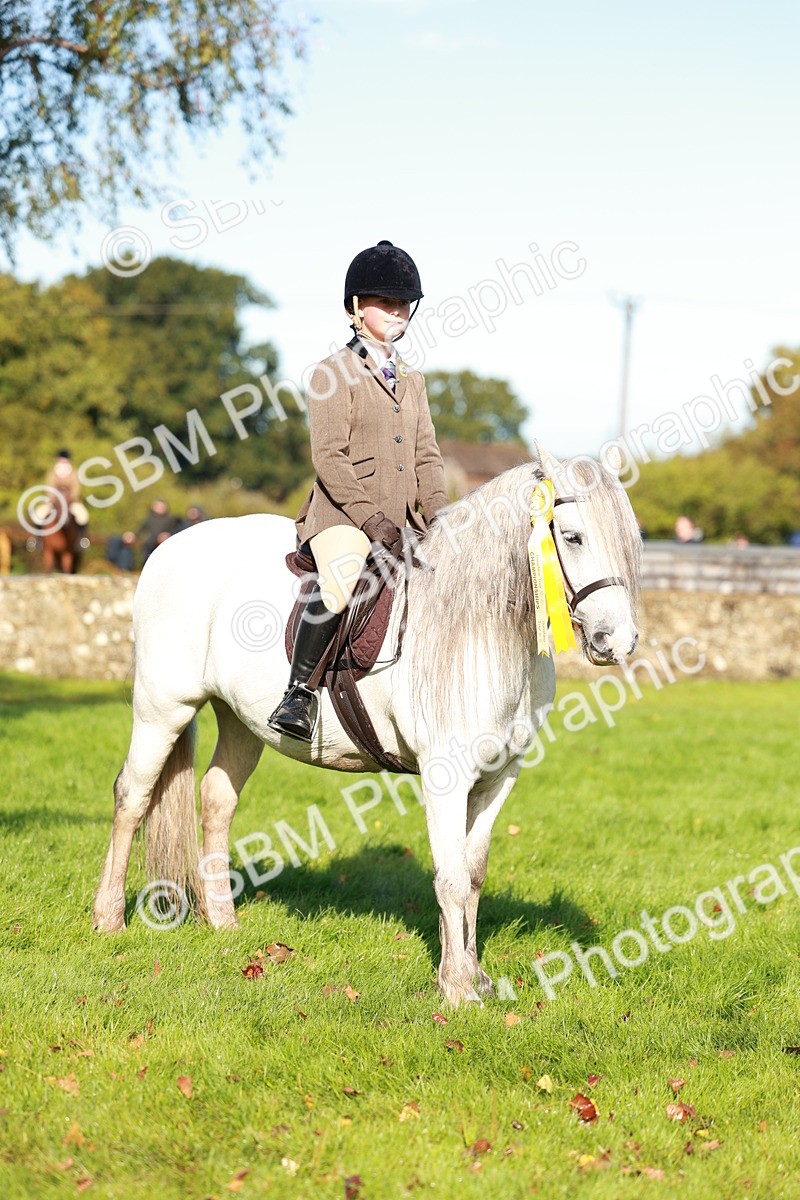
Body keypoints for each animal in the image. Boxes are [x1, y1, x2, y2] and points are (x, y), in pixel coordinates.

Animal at [92, 446, 642, 1006]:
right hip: (162, 708)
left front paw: (473, 974)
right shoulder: (446, 776)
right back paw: (109, 918)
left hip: (242, 723)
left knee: (217, 801)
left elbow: (473, 873)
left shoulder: (498, 777)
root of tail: (168, 548)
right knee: (132, 797)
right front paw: (458, 989)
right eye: (572, 537)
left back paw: (222, 920)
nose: (617, 641)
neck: (482, 627)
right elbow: (450, 877)